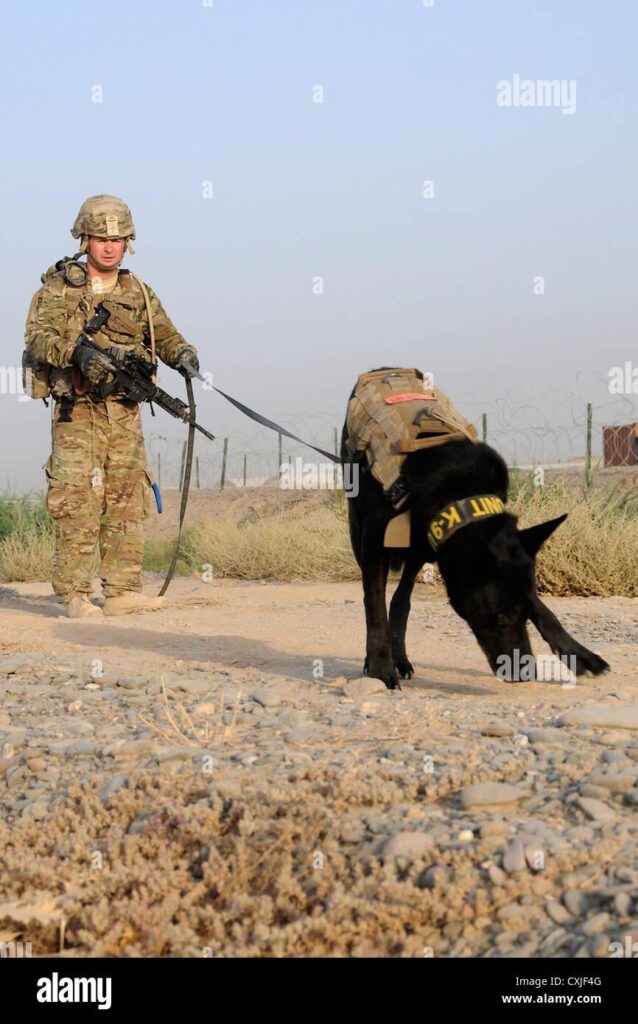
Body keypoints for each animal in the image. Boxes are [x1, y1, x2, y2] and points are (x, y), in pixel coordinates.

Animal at [342, 374, 610, 688]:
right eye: (501, 616)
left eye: (527, 612)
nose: (524, 673)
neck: (458, 489)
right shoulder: (374, 544)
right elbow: (374, 607)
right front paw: (380, 666)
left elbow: (546, 611)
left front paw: (579, 653)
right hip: (360, 533)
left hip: (418, 551)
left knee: (401, 599)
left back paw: (402, 658)